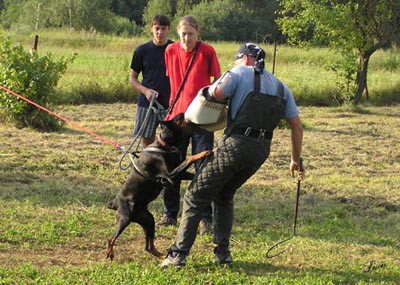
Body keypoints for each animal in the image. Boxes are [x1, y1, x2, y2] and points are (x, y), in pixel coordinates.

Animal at [106, 112, 212, 258]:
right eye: (180, 118)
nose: (184, 113)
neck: (164, 145)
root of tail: (114, 204)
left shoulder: (177, 175)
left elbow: (191, 173)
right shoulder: (170, 175)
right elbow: (190, 158)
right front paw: (204, 153)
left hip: (148, 221)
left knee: (148, 246)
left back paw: (161, 255)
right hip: (124, 218)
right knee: (111, 238)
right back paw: (110, 252)